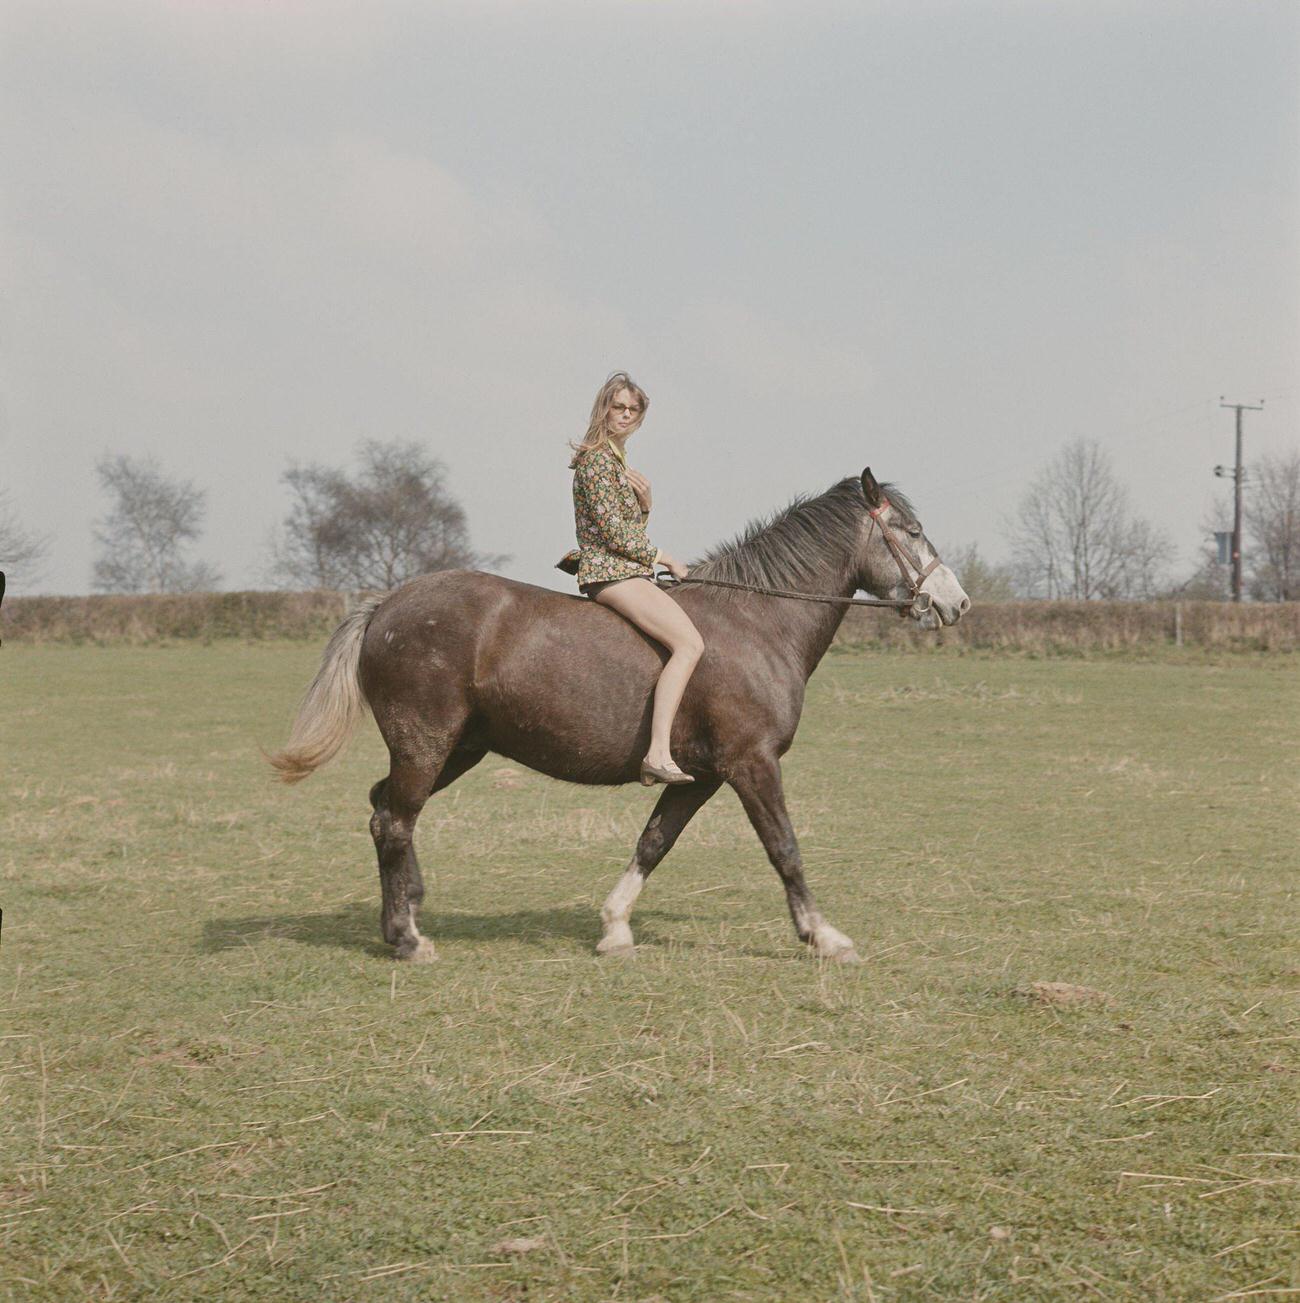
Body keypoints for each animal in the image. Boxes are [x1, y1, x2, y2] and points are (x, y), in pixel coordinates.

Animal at [268, 468, 970, 963]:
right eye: (911, 532)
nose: (956, 602)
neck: (758, 620)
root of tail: (386, 605)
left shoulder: (702, 777)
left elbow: (654, 842)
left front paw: (613, 928)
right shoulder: (751, 764)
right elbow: (785, 849)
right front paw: (824, 937)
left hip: (456, 749)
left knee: (386, 811)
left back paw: (406, 917)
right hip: (426, 744)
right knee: (394, 820)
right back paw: (409, 939)